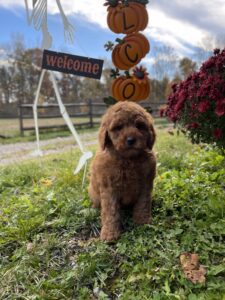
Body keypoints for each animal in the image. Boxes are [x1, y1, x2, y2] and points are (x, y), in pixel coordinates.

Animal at [88, 101, 156, 241]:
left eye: (139, 126)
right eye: (118, 127)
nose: (131, 140)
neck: (127, 159)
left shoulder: (146, 184)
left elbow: (143, 204)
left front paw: (142, 221)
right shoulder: (109, 189)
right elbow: (110, 211)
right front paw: (110, 233)